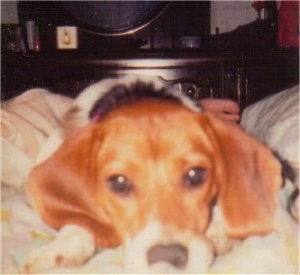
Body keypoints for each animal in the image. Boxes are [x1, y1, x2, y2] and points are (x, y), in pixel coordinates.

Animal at [24, 75, 282, 274]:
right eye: (119, 182)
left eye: (195, 174)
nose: (169, 256)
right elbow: (80, 217)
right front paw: (65, 246)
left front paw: (219, 231)